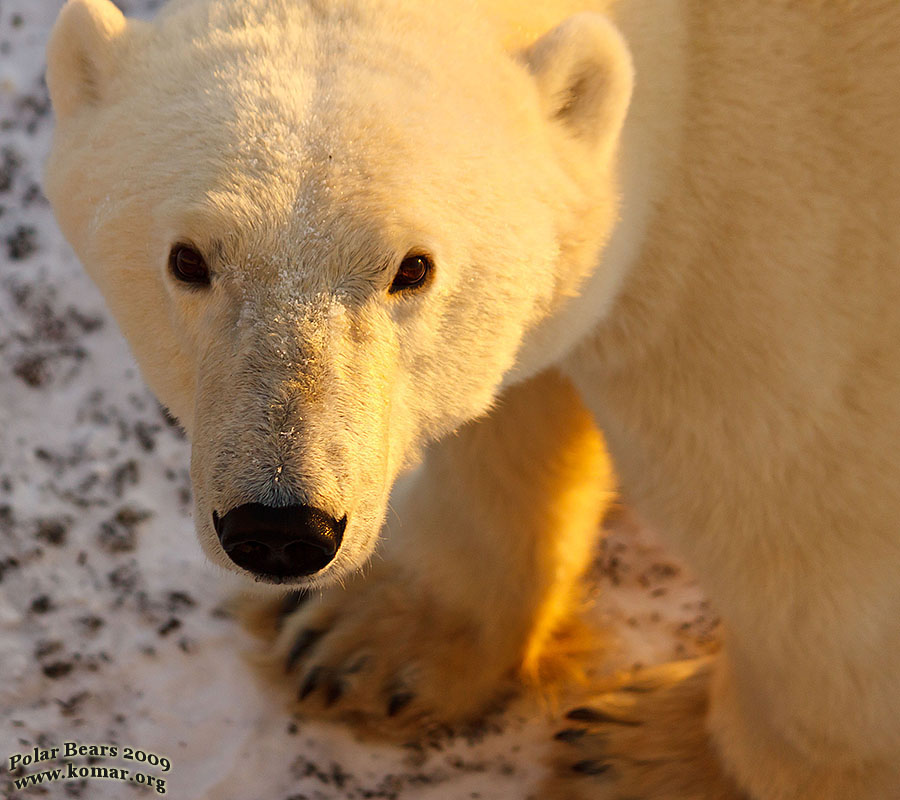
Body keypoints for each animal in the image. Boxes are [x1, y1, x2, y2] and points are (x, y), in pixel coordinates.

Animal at [45, 1, 900, 800]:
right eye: (188, 260)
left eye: (412, 267)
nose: (281, 529)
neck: (697, 42)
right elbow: (511, 405)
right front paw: (357, 639)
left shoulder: (796, 268)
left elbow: (808, 539)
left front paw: (646, 755)